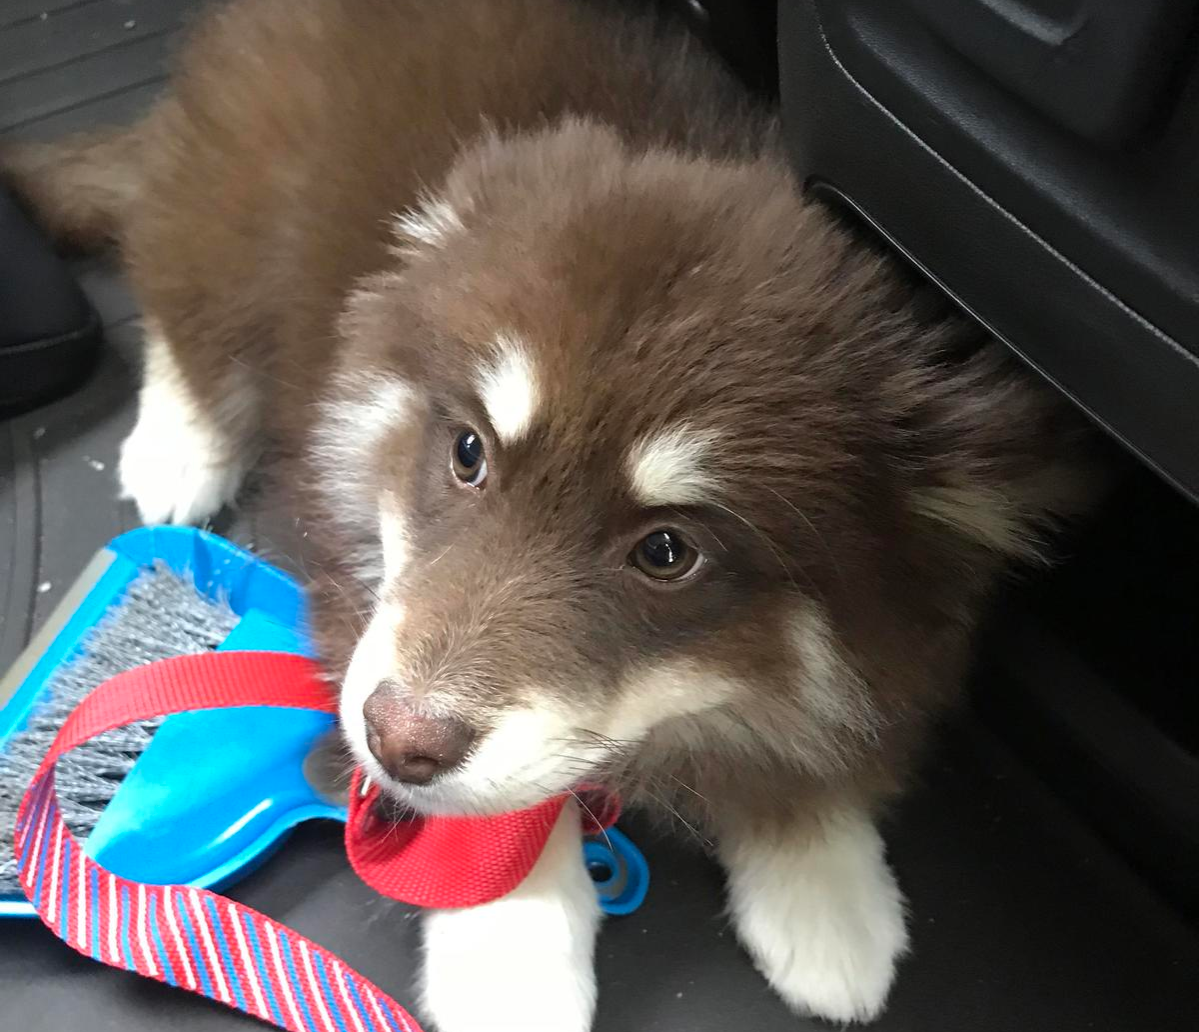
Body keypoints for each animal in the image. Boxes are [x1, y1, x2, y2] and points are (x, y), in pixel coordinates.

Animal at [4, 4, 1098, 1026]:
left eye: (667, 551)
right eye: (468, 453)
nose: (395, 737)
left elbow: (821, 739)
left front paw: (824, 894)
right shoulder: (361, 586)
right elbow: (489, 815)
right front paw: (510, 952)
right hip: (232, 198)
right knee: (182, 301)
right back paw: (178, 447)